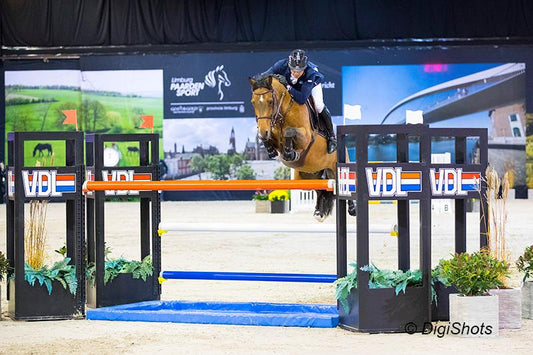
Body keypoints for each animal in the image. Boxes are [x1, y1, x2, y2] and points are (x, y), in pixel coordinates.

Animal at [248, 73, 356, 221]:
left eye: (270, 101)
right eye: (253, 102)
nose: (263, 131)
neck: (283, 113)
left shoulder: (306, 137)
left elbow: (289, 131)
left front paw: (291, 153)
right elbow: (270, 139)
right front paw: (270, 149)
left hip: (337, 167)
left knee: (345, 184)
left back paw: (352, 209)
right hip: (308, 176)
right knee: (320, 189)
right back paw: (319, 212)